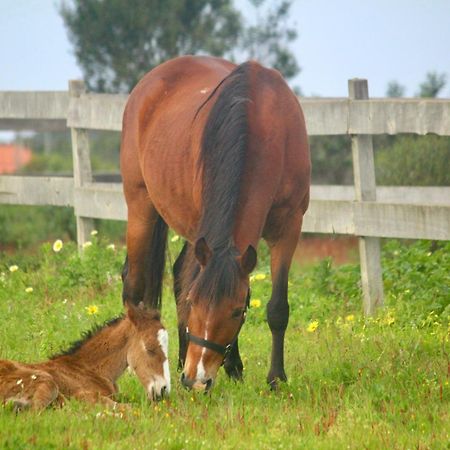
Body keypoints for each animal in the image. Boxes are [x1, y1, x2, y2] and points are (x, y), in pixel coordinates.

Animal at [0, 304, 169, 410]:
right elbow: (128, 407)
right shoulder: (86, 395)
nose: (163, 390)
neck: (90, 368)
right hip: (47, 382)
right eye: (150, 349)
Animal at [119, 54, 310, 390]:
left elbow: (277, 308)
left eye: (236, 312)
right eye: (195, 302)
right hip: (141, 205)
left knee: (177, 273)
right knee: (134, 284)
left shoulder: (289, 227)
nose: (195, 379)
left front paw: (275, 378)